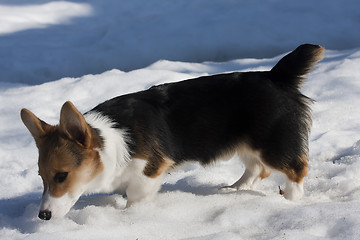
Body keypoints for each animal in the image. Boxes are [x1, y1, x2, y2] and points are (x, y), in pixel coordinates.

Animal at [20, 44, 324, 220]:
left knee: (296, 169)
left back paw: (292, 201)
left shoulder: (148, 172)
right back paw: (233, 189)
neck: (112, 139)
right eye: (42, 177)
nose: (43, 216)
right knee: (256, 169)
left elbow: (136, 197)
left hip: (273, 144)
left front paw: (130, 218)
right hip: (246, 145)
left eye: (62, 176)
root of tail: (278, 76)